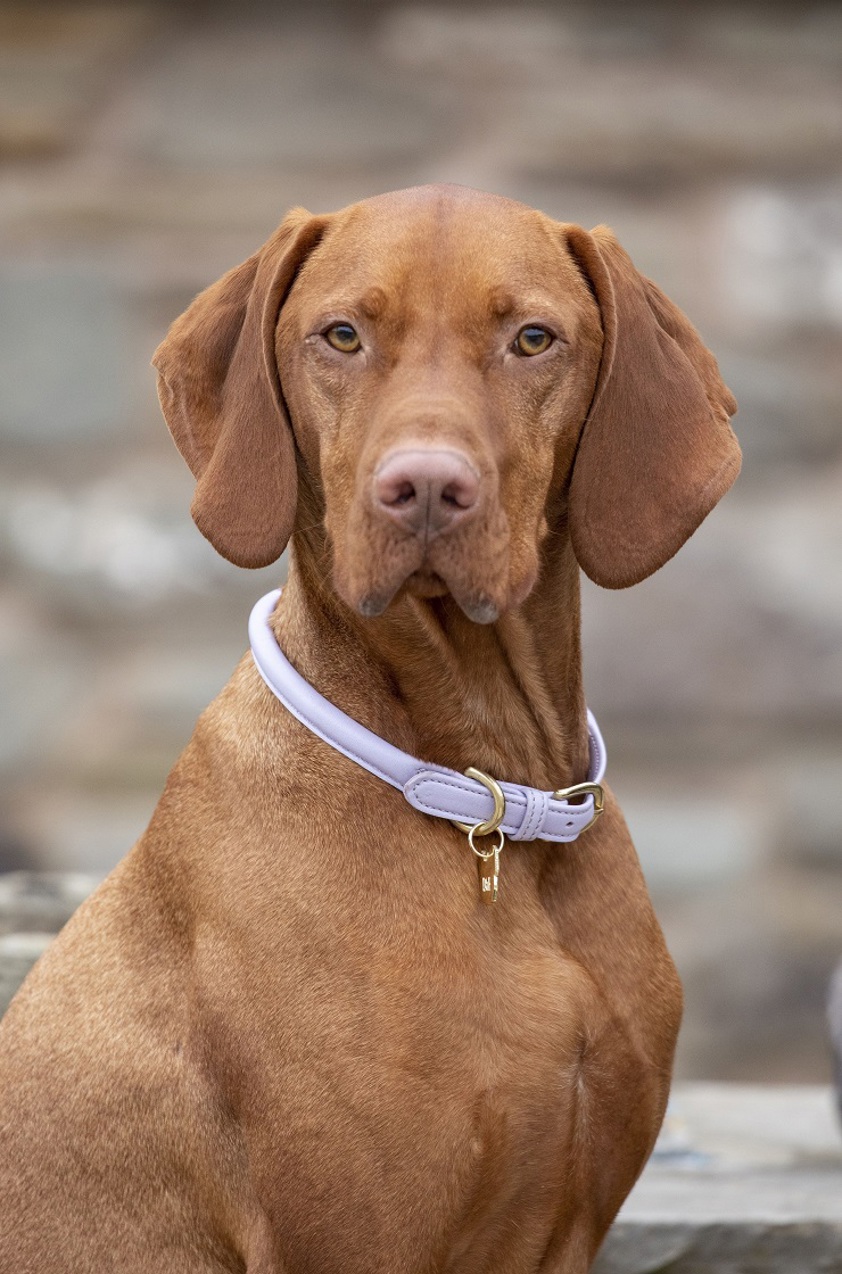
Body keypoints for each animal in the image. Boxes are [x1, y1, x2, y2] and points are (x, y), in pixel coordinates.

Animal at [0, 184, 733, 1268]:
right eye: (341, 334)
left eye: (532, 338)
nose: (424, 487)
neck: (493, 808)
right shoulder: (352, 1237)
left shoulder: (569, 1226)